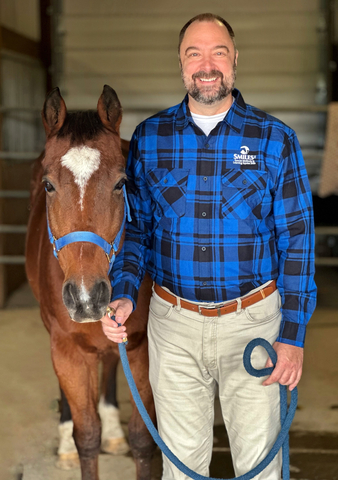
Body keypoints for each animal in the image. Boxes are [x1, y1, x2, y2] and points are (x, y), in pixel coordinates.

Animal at [25, 86, 156, 480]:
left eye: (121, 183)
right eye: (48, 185)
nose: (86, 298)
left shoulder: (142, 345)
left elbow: (142, 438)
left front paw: (118, 432)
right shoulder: (67, 348)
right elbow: (86, 435)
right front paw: (74, 443)